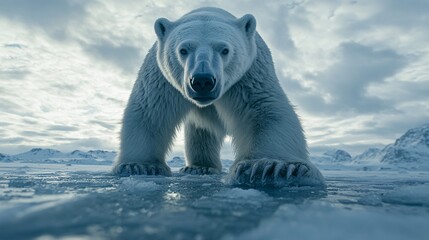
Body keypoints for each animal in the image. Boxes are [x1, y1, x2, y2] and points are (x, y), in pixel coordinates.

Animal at [112, 6, 322, 186]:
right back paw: (199, 167)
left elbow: (266, 110)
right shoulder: (162, 78)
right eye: (183, 50)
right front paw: (139, 166)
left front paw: (273, 167)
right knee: (201, 133)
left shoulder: (249, 75)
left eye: (225, 50)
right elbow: (150, 111)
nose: (202, 81)